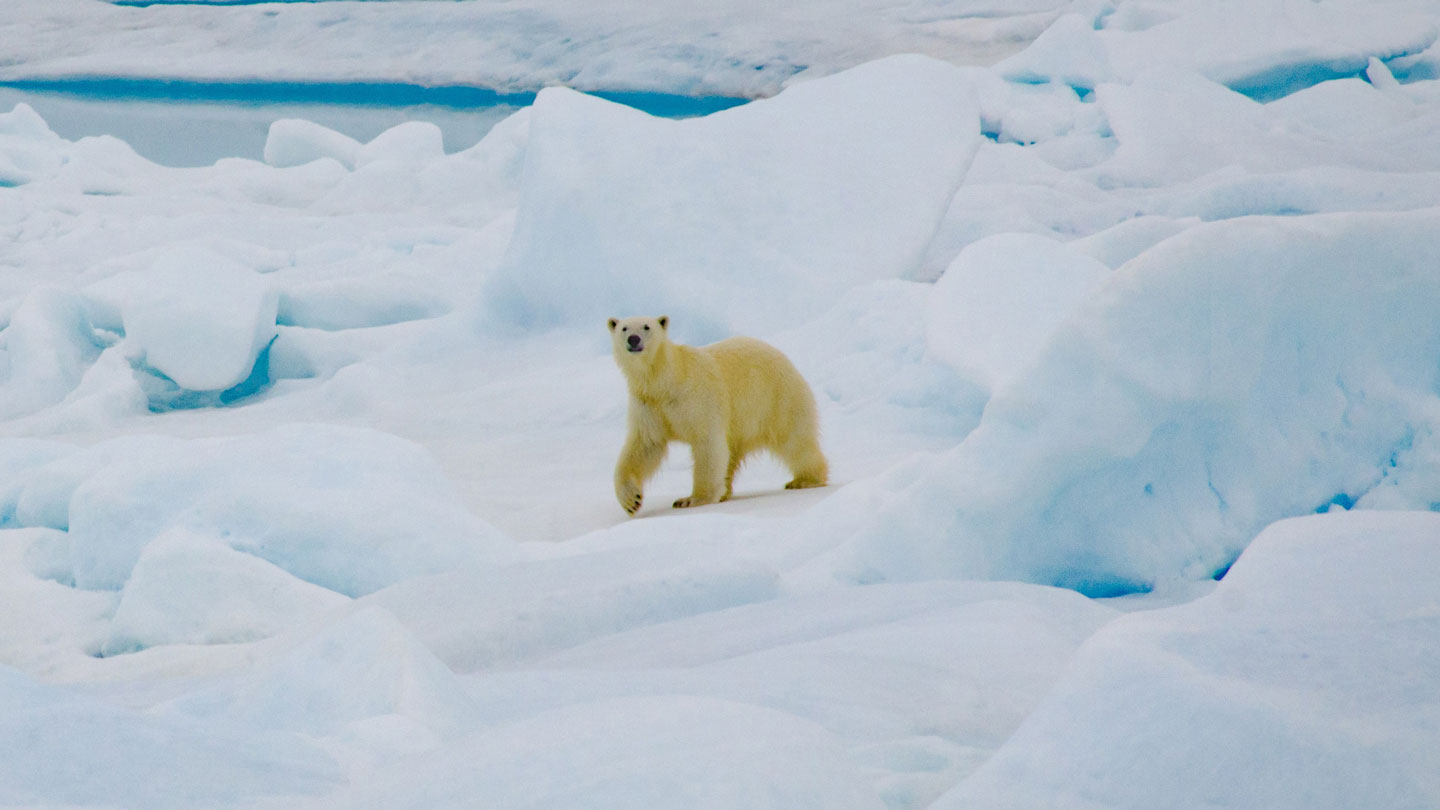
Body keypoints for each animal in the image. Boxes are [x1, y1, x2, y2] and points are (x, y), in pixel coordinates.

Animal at [610, 312, 835, 513]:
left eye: (647, 327)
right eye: (624, 328)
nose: (634, 339)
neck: (667, 380)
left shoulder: (696, 398)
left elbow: (707, 443)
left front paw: (692, 499)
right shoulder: (649, 403)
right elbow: (646, 446)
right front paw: (631, 500)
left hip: (776, 399)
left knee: (794, 440)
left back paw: (805, 479)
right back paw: (725, 492)